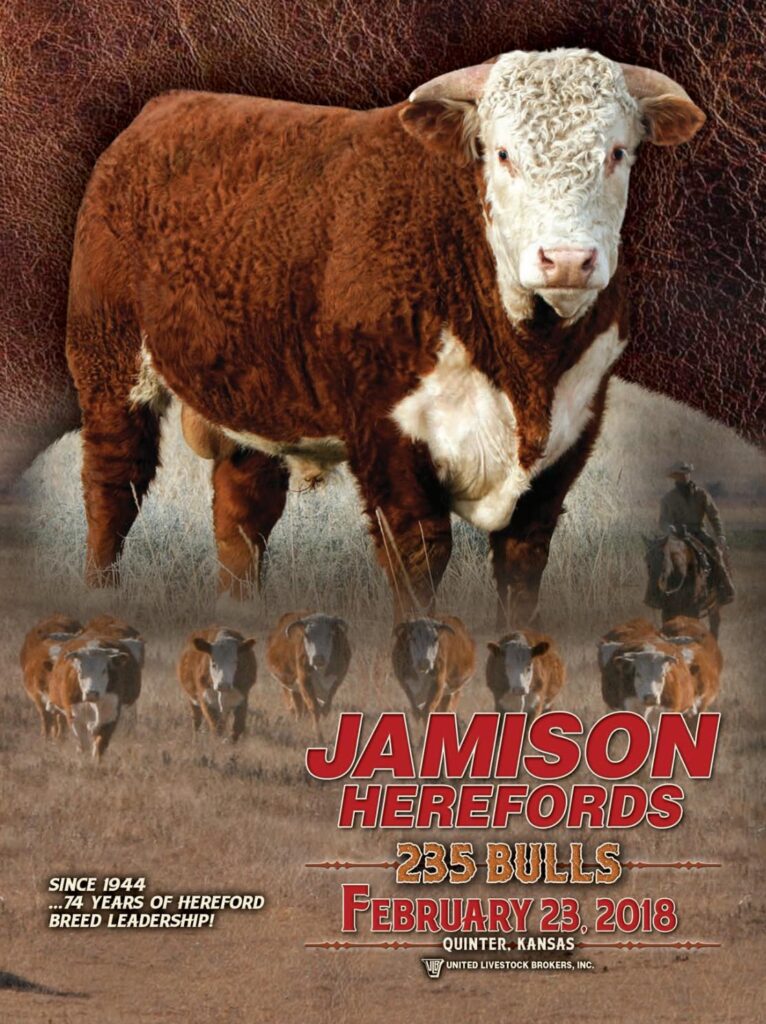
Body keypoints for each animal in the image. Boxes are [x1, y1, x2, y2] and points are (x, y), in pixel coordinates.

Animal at [64, 48, 704, 622]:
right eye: (502, 153)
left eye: (617, 152)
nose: (567, 260)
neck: (527, 368)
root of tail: (162, 108)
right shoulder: (387, 431)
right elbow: (419, 556)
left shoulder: (574, 428)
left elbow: (523, 565)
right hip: (107, 362)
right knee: (113, 486)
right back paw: (100, 599)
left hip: (253, 394)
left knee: (242, 513)